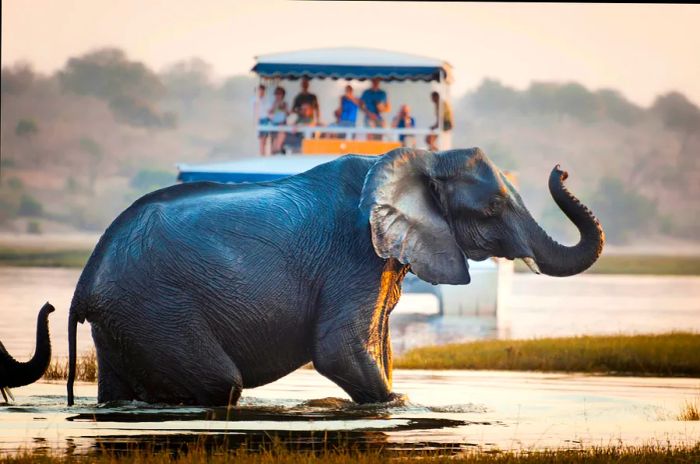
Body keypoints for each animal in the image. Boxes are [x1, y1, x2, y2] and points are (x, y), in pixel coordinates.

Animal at [64, 150, 600, 406]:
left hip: (127, 320)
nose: (562, 169)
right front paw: (399, 405)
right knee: (221, 383)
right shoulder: (354, 255)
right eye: (491, 208)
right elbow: (339, 350)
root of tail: (85, 284)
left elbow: (377, 348)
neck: (421, 158)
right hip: (156, 308)